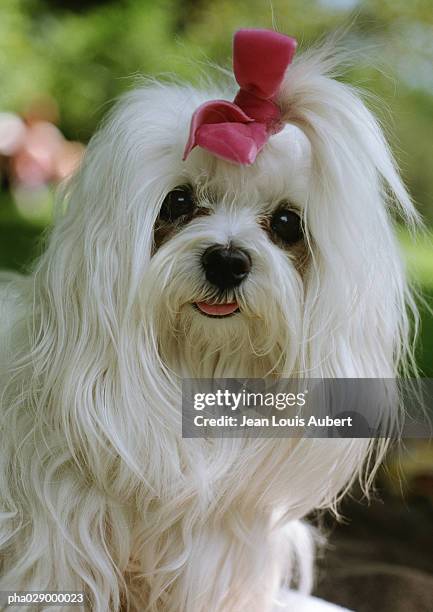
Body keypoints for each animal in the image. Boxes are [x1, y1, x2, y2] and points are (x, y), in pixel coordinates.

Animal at [0, 28, 418, 612]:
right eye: (178, 201)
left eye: (287, 223)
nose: (226, 261)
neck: (197, 366)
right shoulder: (54, 542)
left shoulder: (220, 557)